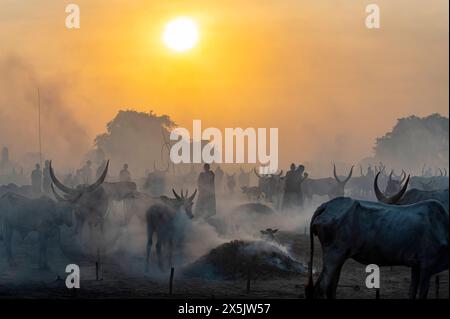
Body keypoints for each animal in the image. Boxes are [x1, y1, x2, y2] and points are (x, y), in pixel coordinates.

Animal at [304, 198, 448, 300]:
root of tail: (326, 206)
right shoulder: (427, 264)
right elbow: (422, 293)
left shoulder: (416, 266)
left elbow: (412, 292)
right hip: (334, 255)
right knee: (320, 289)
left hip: (339, 257)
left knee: (331, 288)